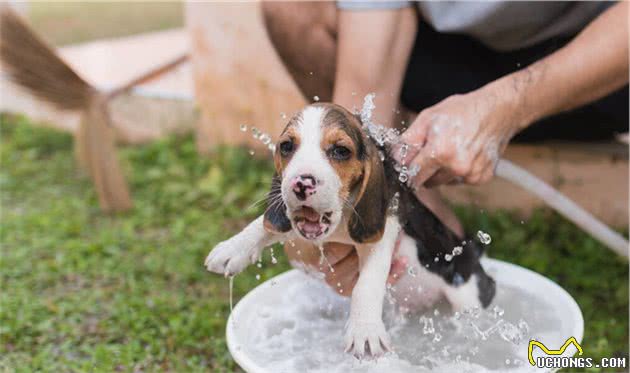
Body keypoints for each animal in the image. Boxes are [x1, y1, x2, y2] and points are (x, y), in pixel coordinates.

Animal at [205, 101, 496, 358]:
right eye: (287, 147)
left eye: (340, 151)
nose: (300, 184)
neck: (341, 223)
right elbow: (264, 225)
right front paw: (232, 249)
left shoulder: (384, 232)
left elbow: (366, 285)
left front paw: (364, 331)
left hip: (467, 295)